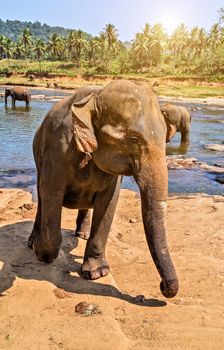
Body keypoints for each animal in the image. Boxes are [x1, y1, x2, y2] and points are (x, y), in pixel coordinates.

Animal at [28, 81, 178, 298]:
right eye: (133, 139)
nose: (162, 287)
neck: (96, 96)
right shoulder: (58, 148)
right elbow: (51, 192)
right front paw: (41, 252)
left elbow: (109, 202)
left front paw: (97, 272)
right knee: (41, 195)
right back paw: (32, 241)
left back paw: (81, 234)